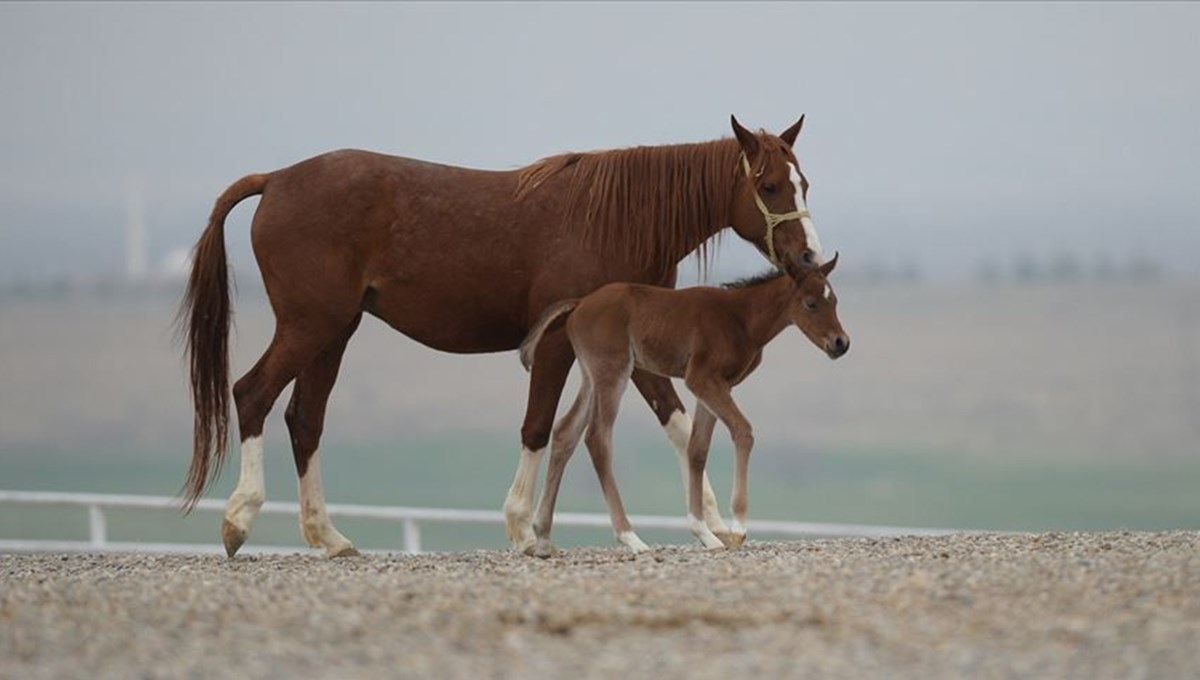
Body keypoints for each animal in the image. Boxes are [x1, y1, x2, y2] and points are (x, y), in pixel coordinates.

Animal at [520, 253, 849, 556]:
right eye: (810, 303)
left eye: (833, 301)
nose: (841, 343)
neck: (740, 318)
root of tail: (579, 303)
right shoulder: (702, 379)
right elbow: (743, 431)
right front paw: (738, 527)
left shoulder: (715, 386)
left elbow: (697, 449)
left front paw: (704, 533)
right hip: (613, 373)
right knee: (597, 438)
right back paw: (631, 538)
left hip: (592, 376)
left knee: (566, 432)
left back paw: (543, 537)